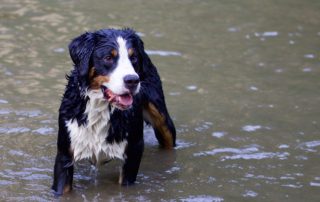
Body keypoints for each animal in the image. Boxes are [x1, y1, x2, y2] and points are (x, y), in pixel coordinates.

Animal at [52, 28, 178, 196]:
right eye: (108, 58)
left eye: (133, 58)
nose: (132, 80)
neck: (101, 108)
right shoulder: (65, 154)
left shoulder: (133, 151)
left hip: (163, 120)